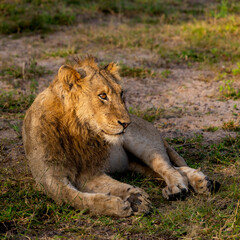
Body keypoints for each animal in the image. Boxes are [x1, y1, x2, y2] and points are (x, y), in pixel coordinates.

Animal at [22, 56, 219, 218]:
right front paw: (126, 201)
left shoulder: (90, 172)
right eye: (102, 96)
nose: (126, 123)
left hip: (142, 142)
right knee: (168, 169)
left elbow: (110, 187)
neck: (78, 131)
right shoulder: (51, 179)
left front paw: (132, 198)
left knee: (167, 167)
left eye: (121, 93)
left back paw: (180, 187)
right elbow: (76, 198)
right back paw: (200, 182)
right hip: (134, 163)